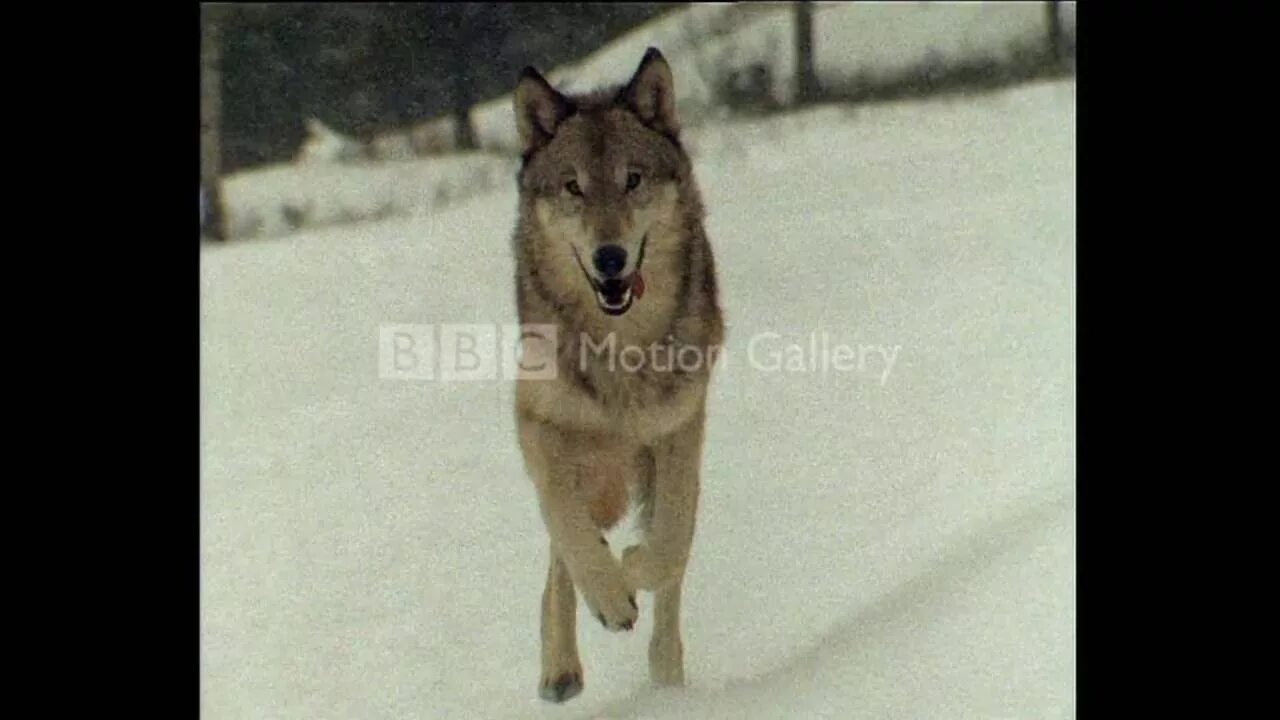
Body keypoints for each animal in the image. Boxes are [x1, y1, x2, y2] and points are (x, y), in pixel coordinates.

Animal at [512, 46, 732, 702]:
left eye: (633, 180)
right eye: (573, 188)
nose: (609, 258)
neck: (620, 347)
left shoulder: (679, 431)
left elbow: (668, 546)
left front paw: (630, 571)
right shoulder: (535, 424)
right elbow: (566, 526)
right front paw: (609, 596)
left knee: (669, 571)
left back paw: (666, 676)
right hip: (595, 471)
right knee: (561, 556)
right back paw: (560, 668)